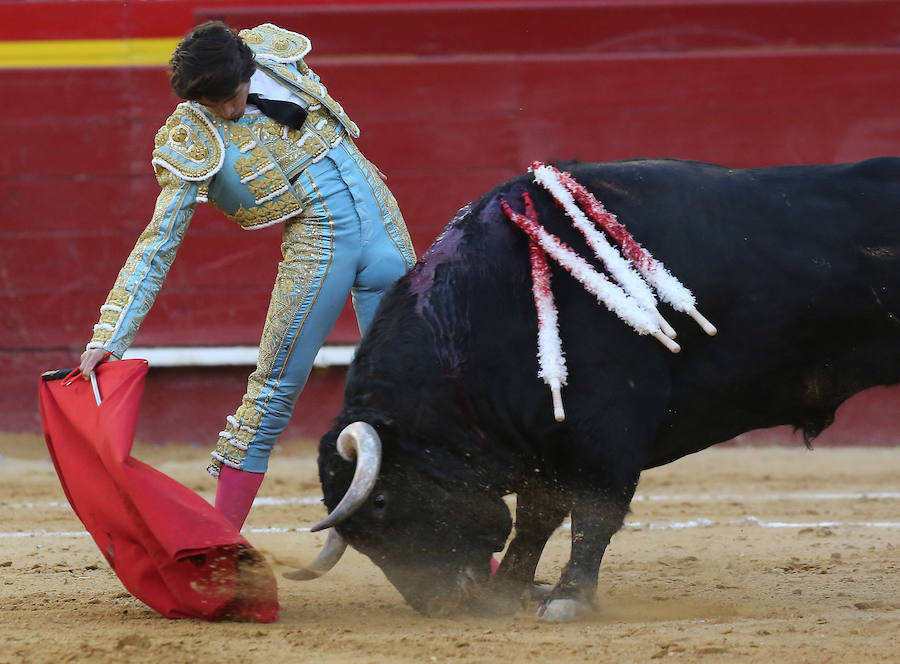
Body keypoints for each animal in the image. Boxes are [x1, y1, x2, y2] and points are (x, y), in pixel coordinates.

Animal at [300, 158, 892, 620]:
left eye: (381, 502)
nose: (438, 604)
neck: (494, 302)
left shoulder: (608, 432)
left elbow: (594, 513)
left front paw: (567, 599)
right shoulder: (545, 443)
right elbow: (538, 516)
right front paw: (509, 592)